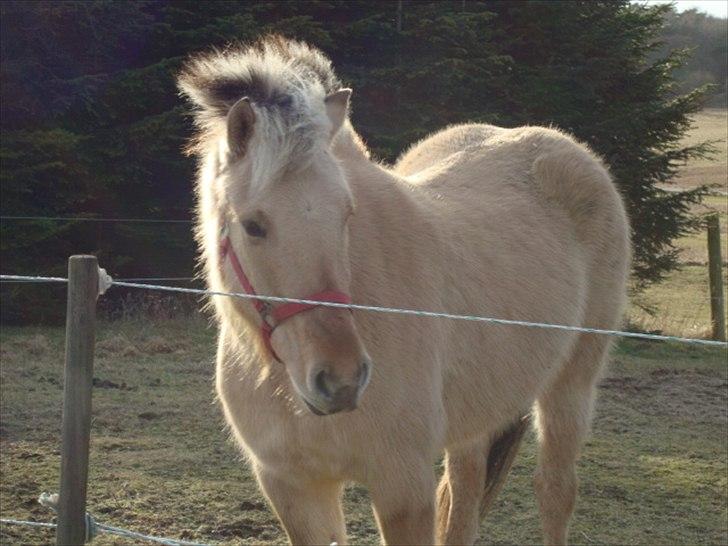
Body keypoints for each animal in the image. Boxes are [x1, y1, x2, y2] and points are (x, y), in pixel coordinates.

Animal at [178, 36, 632, 540]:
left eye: (347, 214)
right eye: (253, 225)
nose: (340, 379)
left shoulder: (402, 485)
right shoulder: (293, 488)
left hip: (570, 387)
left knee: (554, 491)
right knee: (465, 493)